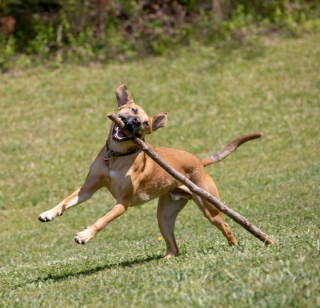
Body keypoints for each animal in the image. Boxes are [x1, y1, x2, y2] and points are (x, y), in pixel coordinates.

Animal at [39, 84, 260, 258]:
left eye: (146, 123)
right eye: (133, 110)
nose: (135, 122)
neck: (116, 157)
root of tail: (198, 161)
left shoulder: (123, 202)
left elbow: (103, 220)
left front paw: (85, 235)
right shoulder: (88, 188)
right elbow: (67, 200)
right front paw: (49, 213)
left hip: (209, 207)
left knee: (226, 225)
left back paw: (236, 246)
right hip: (164, 215)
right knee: (173, 246)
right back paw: (165, 259)